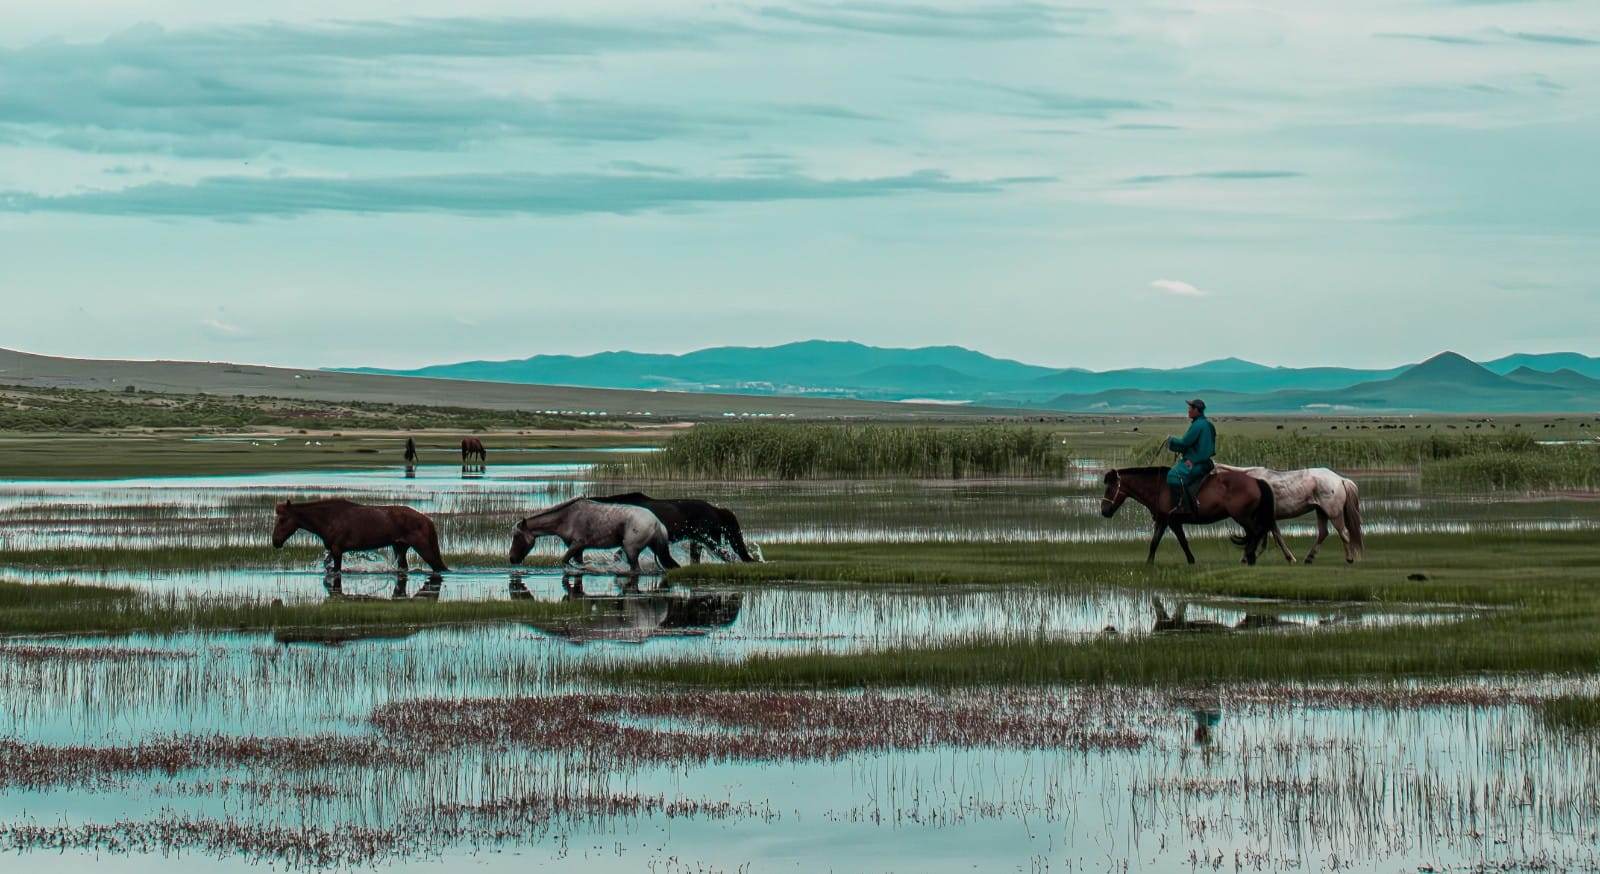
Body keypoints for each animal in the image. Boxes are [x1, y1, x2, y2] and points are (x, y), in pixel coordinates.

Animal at [272, 498, 449, 574]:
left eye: (282, 519)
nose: (275, 541)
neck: (326, 520)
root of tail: (428, 521)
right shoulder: (332, 549)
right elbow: (327, 565)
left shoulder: (337, 549)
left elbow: (336, 569)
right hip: (399, 546)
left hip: (423, 547)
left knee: (439, 567)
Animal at [509, 498, 680, 574]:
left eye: (516, 536)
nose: (512, 558)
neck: (566, 517)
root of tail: (657, 522)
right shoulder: (578, 549)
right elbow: (576, 562)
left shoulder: (577, 544)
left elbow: (565, 561)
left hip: (631, 550)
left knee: (635, 570)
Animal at [1099, 467, 1277, 565]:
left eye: (1110, 488)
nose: (1104, 511)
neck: (1159, 487)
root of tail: (1256, 481)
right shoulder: (1168, 521)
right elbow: (1167, 542)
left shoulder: (1169, 521)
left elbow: (1169, 542)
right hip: (1245, 517)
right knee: (1253, 534)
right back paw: (1249, 557)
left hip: (1242, 516)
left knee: (1256, 532)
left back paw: (1250, 557)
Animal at [1216, 464, 1364, 563]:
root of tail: (1340, 479)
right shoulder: (1269, 519)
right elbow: (1277, 536)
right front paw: (1290, 558)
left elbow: (1259, 536)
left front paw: (1246, 557)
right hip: (1321, 511)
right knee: (1323, 533)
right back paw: (1309, 558)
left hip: (1333, 513)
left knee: (1343, 533)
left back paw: (1349, 558)